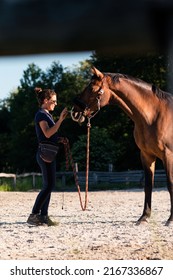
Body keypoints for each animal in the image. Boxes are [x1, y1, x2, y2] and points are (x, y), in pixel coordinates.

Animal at [70, 65, 173, 225]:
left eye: (92, 88)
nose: (74, 112)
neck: (154, 115)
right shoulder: (146, 155)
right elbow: (148, 185)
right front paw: (144, 217)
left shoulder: (168, 155)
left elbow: (170, 184)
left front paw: (171, 219)